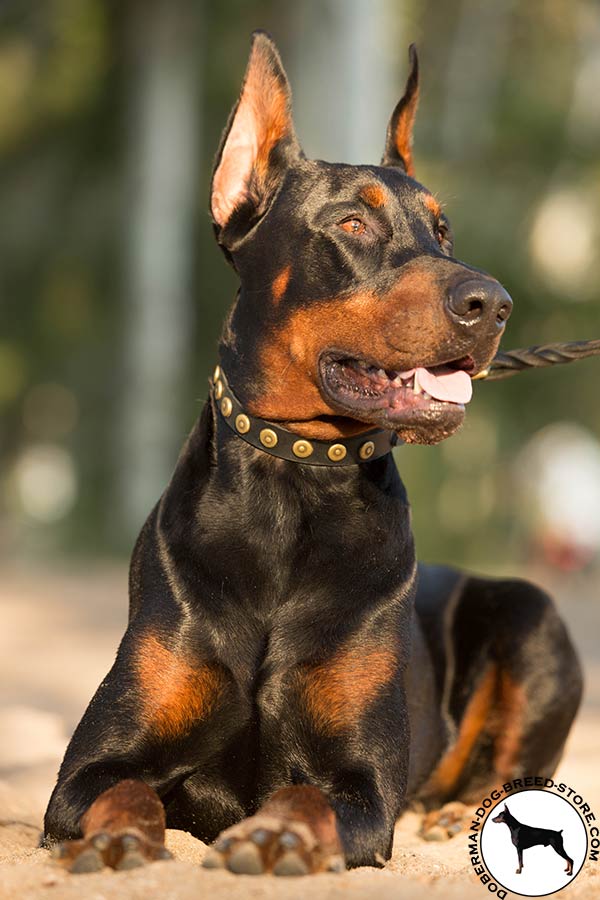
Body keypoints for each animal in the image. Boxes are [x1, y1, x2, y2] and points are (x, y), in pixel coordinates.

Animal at [42, 31, 580, 876]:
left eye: (443, 231)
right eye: (352, 226)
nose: (493, 304)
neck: (294, 483)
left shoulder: (360, 783)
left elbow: (306, 797)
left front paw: (278, 834)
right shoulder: (86, 769)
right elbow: (117, 790)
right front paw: (121, 835)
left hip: (534, 614)